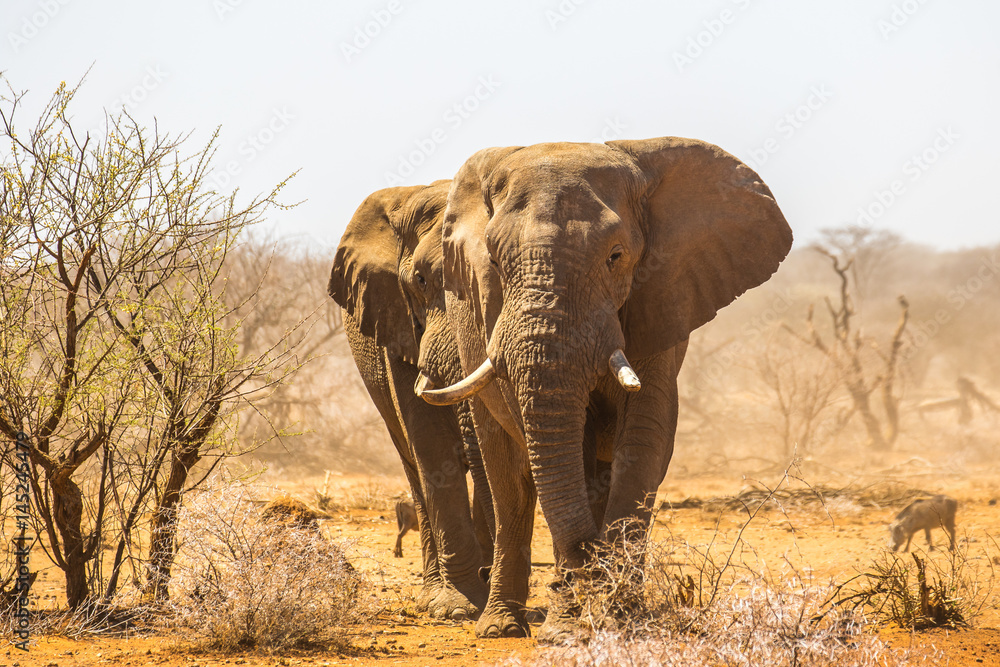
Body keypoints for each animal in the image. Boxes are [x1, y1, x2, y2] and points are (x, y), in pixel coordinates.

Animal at [328, 180, 494, 620]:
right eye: (420, 280)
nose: (487, 573)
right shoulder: (391, 317)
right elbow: (429, 441)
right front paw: (458, 609)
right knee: (413, 466)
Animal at [417, 136, 793, 640]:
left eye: (616, 256)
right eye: (493, 261)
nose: (587, 556)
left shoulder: (663, 296)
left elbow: (644, 435)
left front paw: (617, 616)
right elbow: (557, 445)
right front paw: (569, 626)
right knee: (509, 476)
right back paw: (501, 626)